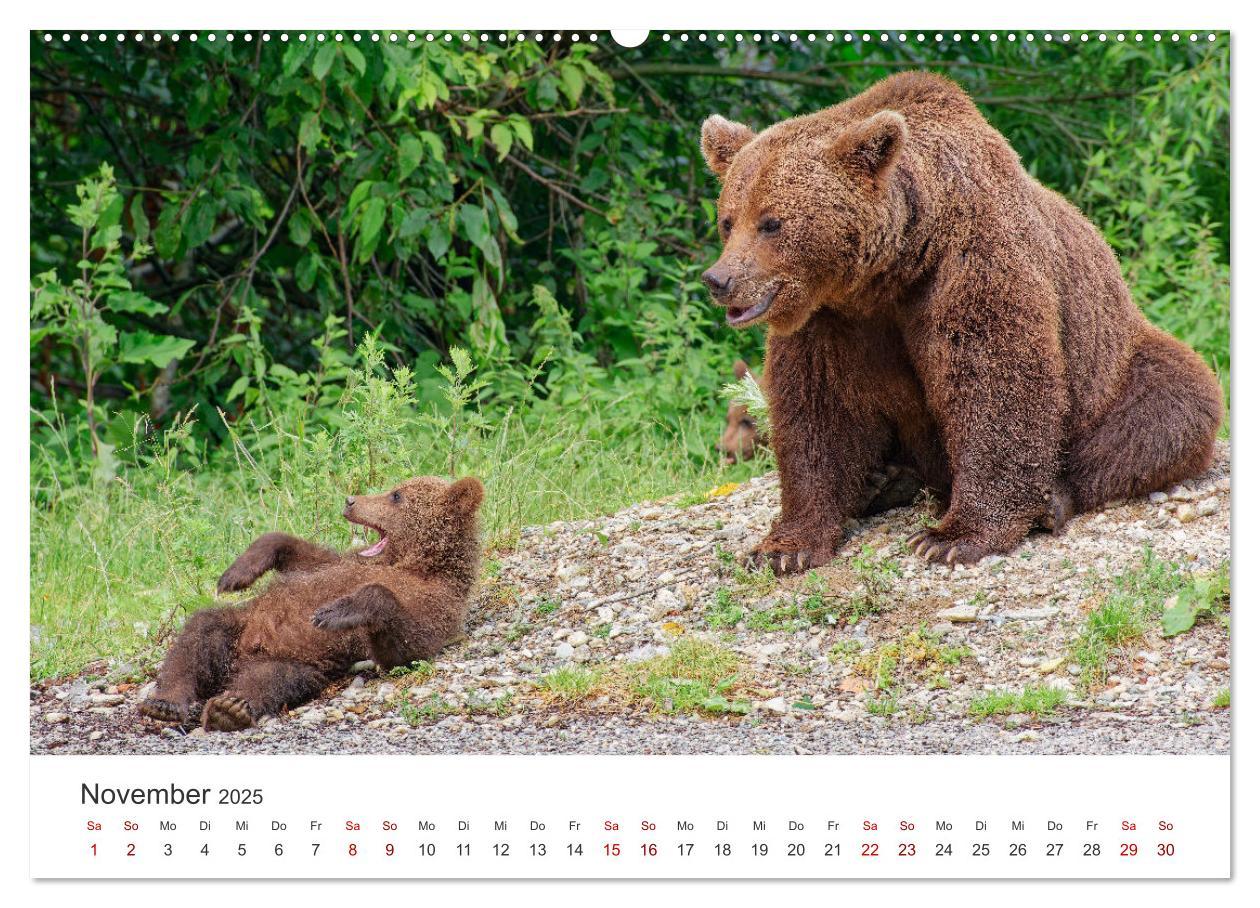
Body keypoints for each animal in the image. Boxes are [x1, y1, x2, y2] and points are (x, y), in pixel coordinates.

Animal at [700, 70, 1219, 569]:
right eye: (728, 220)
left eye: (772, 222)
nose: (719, 279)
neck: (893, 269)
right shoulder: (828, 319)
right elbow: (817, 411)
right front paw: (784, 548)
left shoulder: (971, 262)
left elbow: (995, 383)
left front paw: (951, 538)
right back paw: (883, 482)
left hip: (1115, 361)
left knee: (1169, 403)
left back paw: (1051, 498)